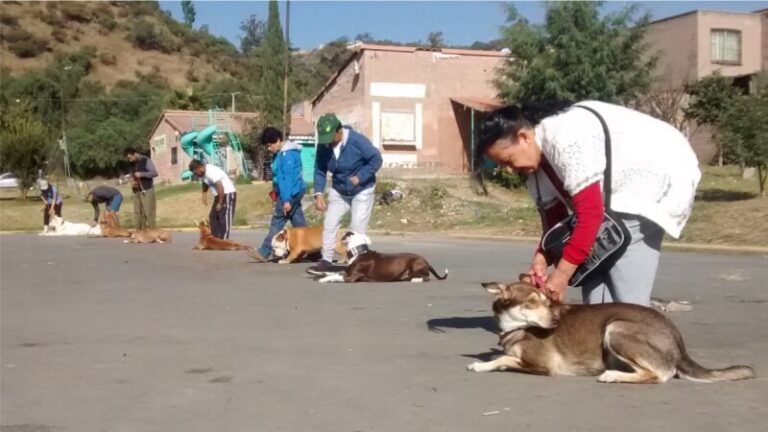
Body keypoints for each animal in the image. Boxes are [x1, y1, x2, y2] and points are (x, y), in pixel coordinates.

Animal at [316, 233, 448, 284]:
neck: (359, 251)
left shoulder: (350, 277)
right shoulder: (347, 272)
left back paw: (414, 279)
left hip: (415, 265)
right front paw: (323, 275)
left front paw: (323, 279)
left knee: (425, 277)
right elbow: (334, 273)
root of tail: (426, 261)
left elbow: (335, 276)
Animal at [464, 276, 752, 384]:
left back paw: (613, 375)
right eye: (532, 302)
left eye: (546, 301)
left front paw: (483, 365)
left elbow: (505, 358)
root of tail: (676, 338)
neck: (520, 327)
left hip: (616, 328)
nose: (555, 321)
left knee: (660, 374)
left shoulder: (544, 366)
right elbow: (502, 355)